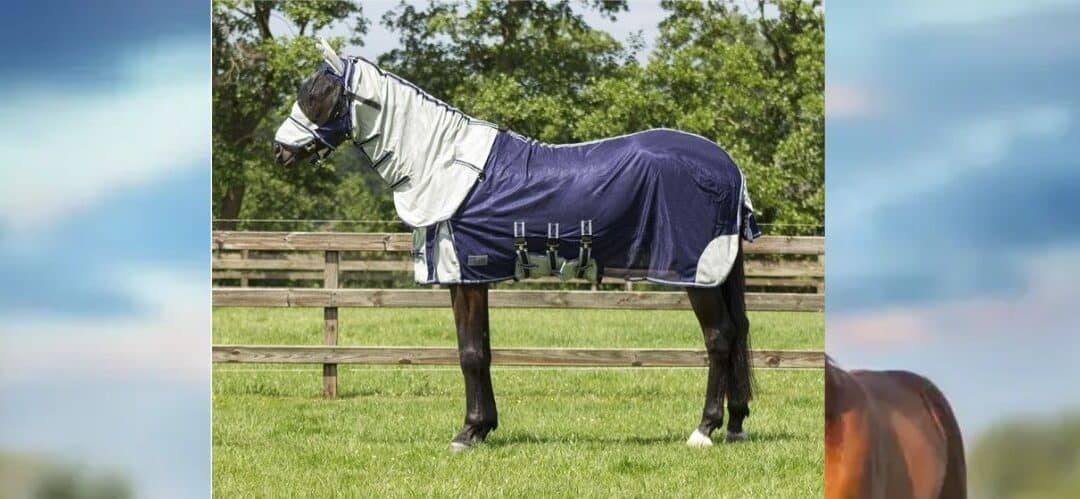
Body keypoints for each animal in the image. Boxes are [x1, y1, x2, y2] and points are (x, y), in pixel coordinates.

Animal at [272, 39, 761, 453]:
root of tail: (729, 166)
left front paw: (467, 434)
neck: (445, 164)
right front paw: (483, 426)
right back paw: (736, 425)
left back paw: (704, 430)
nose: (279, 151)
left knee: (719, 338)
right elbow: (482, 350)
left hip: (698, 272)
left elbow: (470, 353)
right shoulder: (473, 277)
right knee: (737, 332)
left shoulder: (465, 274)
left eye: (318, 95)